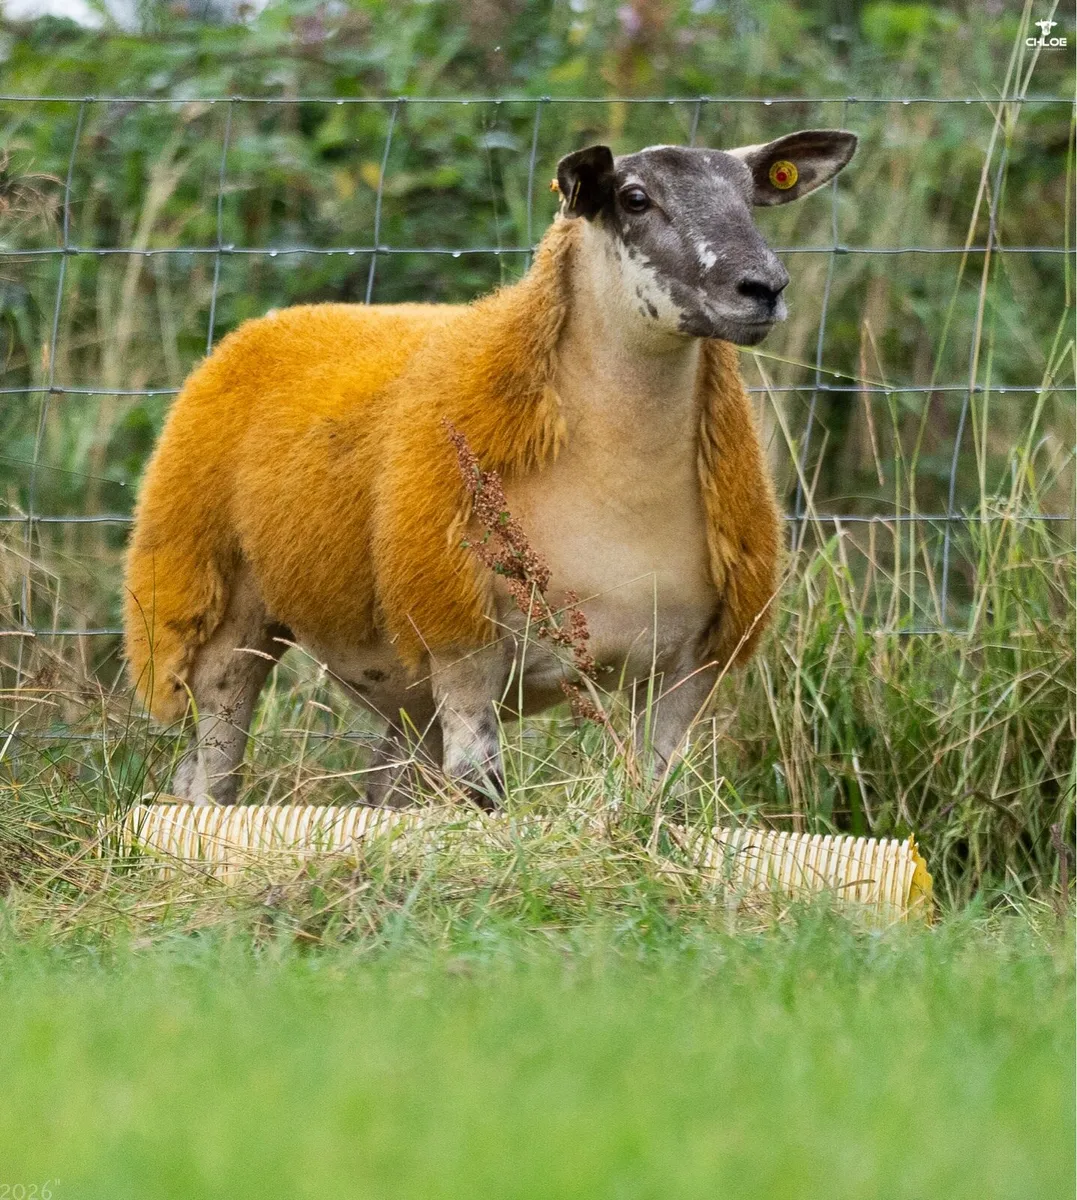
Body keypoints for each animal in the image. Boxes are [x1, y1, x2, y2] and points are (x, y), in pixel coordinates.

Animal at [124, 128, 858, 807]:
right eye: (634, 198)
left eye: (748, 198)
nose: (763, 288)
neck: (618, 489)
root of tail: (267, 325)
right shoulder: (464, 644)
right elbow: (481, 796)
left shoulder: (689, 667)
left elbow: (656, 801)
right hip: (219, 612)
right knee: (210, 777)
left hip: (405, 688)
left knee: (380, 788)